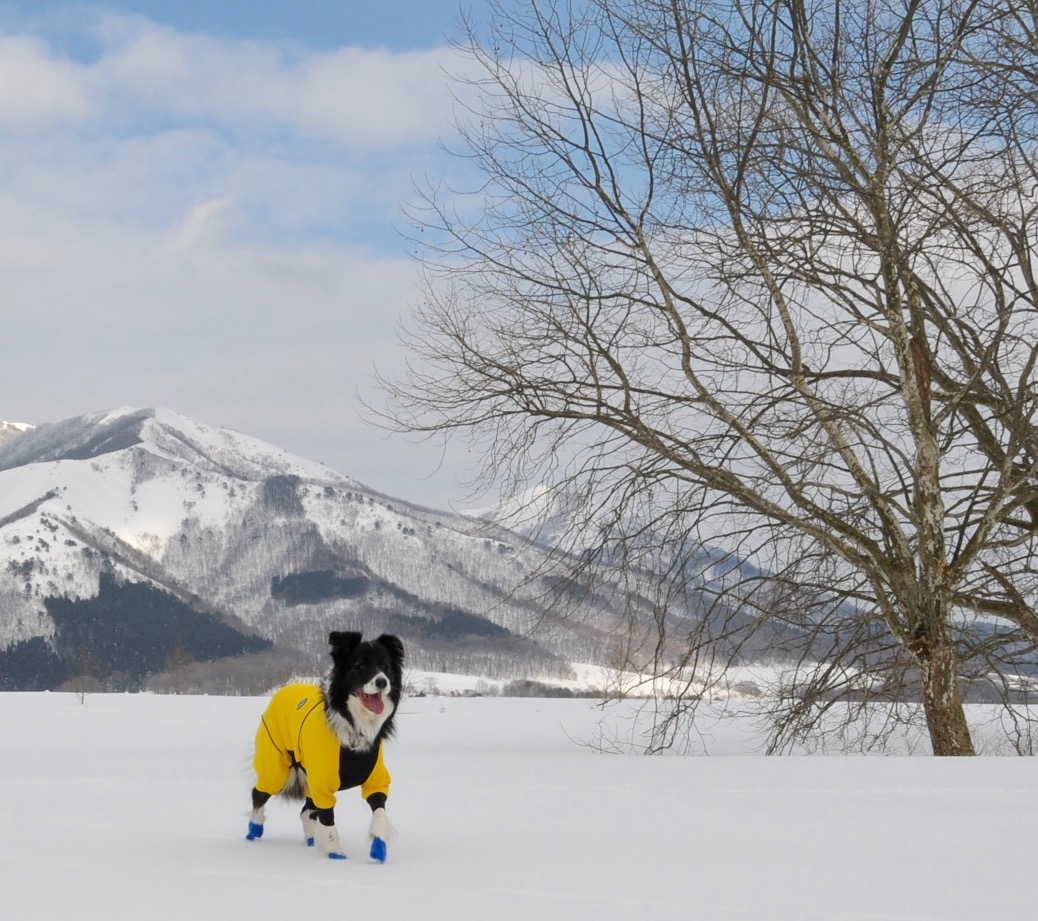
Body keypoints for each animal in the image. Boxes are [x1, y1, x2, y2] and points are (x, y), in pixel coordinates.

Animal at [244, 631, 402, 859]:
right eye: (360, 665)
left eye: (386, 666)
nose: (382, 682)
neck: (353, 729)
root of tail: (285, 689)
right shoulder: (323, 783)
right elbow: (329, 823)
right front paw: (335, 854)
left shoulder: (374, 778)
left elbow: (380, 812)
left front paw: (379, 846)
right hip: (276, 766)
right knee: (259, 793)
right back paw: (254, 829)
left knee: (306, 811)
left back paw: (310, 840)